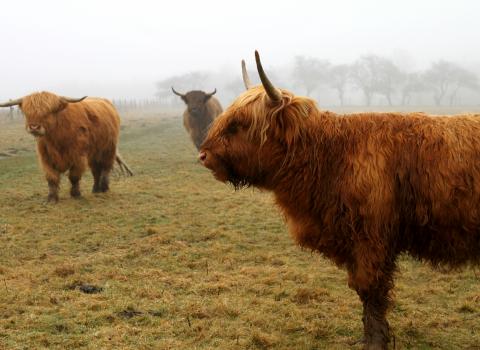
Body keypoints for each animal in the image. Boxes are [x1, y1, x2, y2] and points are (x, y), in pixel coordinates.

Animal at [0, 91, 131, 202]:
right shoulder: (45, 157)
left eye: (49, 111)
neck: (56, 137)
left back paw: (104, 188)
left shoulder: (78, 156)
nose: (34, 127)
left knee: (105, 167)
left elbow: (74, 176)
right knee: (95, 170)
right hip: (94, 153)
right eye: (27, 112)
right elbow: (51, 177)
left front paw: (76, 194)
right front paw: (52, 198)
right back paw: (95, 189)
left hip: (108, 148)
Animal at [199, 50, 480, 348]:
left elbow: (370, 291)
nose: (203, 155)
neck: (329, 156)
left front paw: (375, 340)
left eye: (239, 124)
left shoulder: (371, 239)